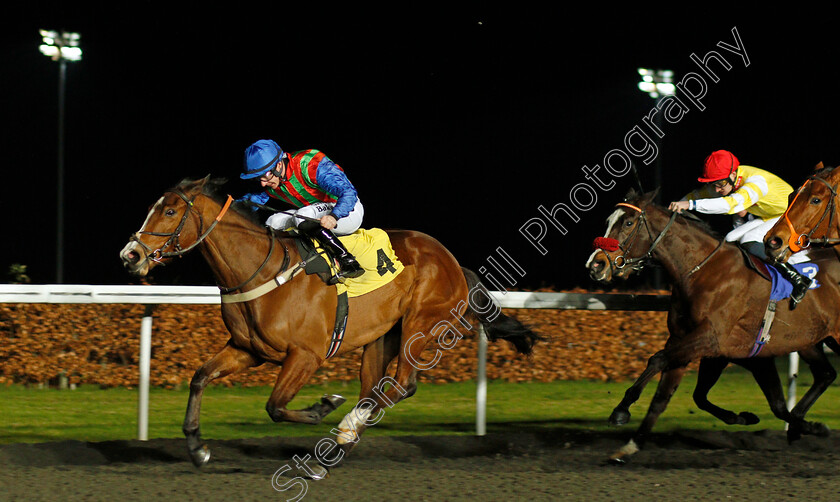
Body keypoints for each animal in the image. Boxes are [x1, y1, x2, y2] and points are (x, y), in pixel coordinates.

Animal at [118, 176, 540, 470]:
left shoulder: (306, 355)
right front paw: (197, 448)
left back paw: (344, 429)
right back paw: (344, 439)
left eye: (170, 212)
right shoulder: (247, 349)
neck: (262, 271)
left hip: (421, 325)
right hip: (382, 336)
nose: (130, 255)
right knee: (375, 389)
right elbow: (200, 378)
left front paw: (324, 406)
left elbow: (275, 406)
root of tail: (451, 260)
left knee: (401, 385)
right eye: (155, 208)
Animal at [588, 188, 840, 462]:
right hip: (811, 341)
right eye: (608, 221)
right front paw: (632, 444)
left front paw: (621, 410)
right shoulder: (705, 347)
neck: (702, 271)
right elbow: (668, 397)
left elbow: (657, 360)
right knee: (826, 374)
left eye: (628, 222)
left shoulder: (710, 338)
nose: (595, 265)